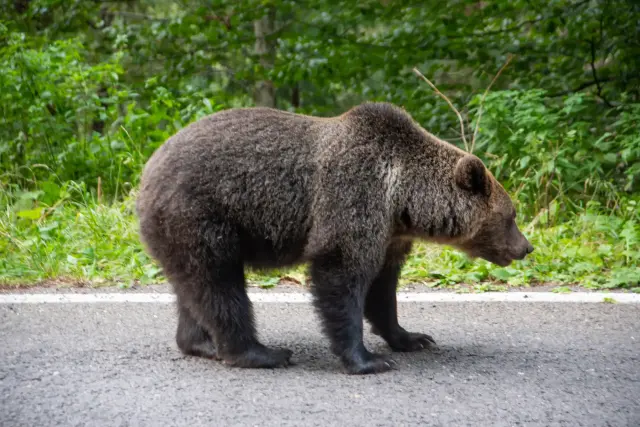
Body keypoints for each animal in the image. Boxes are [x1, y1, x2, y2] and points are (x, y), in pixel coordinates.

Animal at [135, 102, 534, 375]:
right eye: (512, 215)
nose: (526, 247)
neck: (402, 201)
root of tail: (146, 172)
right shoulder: (354, 196)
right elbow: (341, 275)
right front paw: (368, 360)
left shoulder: (389, 236)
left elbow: (383, 289)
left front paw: (412, 337)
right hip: (202, 216)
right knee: (219, 285)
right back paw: (261, 352)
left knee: (192, 288)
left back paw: (200, 343)